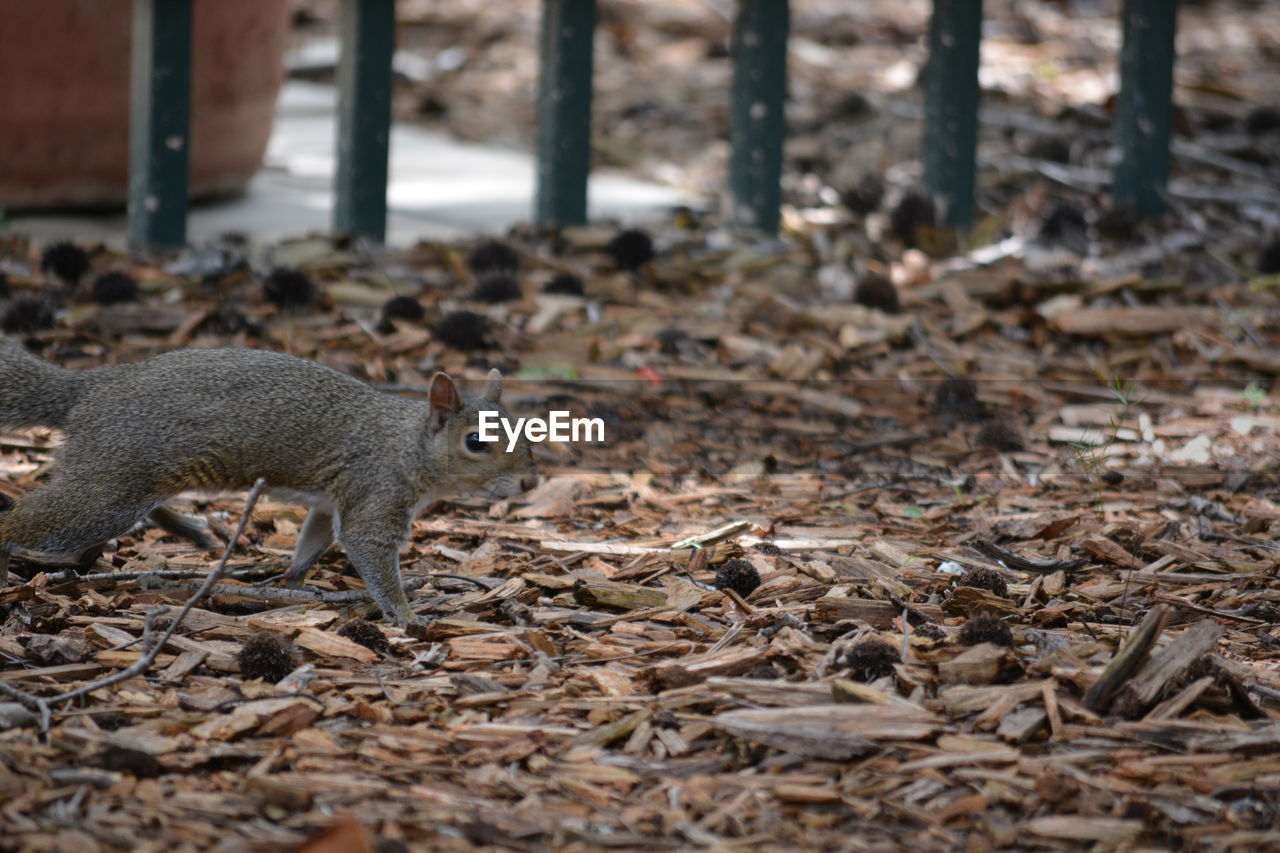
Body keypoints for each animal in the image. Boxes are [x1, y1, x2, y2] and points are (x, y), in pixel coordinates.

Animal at [0, 338, 537, 625]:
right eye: (476, 442)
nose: (530, 483)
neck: (406, 443)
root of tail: (89, 388)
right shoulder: (375, 488)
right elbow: (367, 547)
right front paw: (406, 617)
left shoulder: (331, 500)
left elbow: (314, 539)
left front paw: (290, 582)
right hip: (110, 486)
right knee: (28, 520)